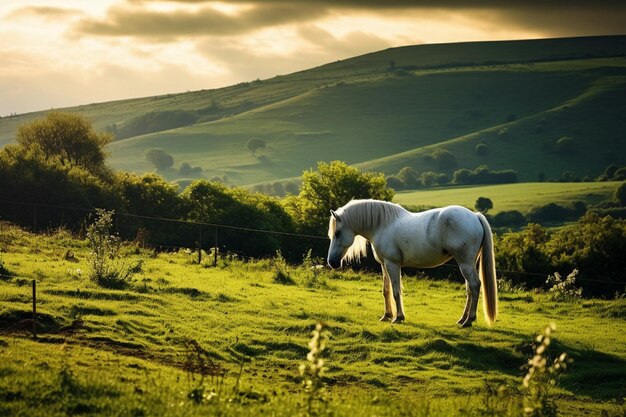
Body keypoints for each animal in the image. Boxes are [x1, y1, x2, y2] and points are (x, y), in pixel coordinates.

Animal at [326, 198, 498, 324]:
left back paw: (469, 320)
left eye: (337, 233)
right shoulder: (384, 265)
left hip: (465, 264)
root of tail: (475, 216)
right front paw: (386, 315)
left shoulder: (392, 264)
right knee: (470, 289)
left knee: (475, 286)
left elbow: (396, 291)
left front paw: (398, 317)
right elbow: (386, 290)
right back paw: (462, 319)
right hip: (467, 264)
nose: (332, 262)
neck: (382, 225)